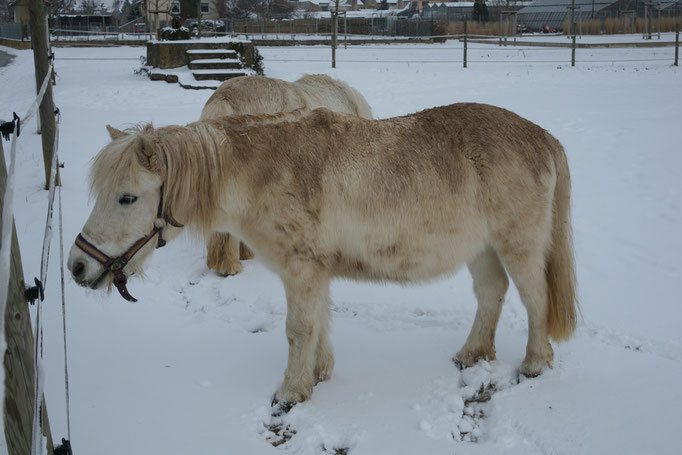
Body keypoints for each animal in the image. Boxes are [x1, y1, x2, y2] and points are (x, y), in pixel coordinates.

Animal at [69, 104, 576, 410]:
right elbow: (319, 323)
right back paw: (472, 355)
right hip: (482, 248)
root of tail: (542, 136)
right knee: (491, 293)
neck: (262, 170)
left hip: (517, 245)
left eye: (127, 198)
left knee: (534, 299)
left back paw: (534, 364)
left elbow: (298, 328)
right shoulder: (315, 271)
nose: (77, 265)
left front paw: (291, 392)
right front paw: (318, 374)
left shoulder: (301, 269)